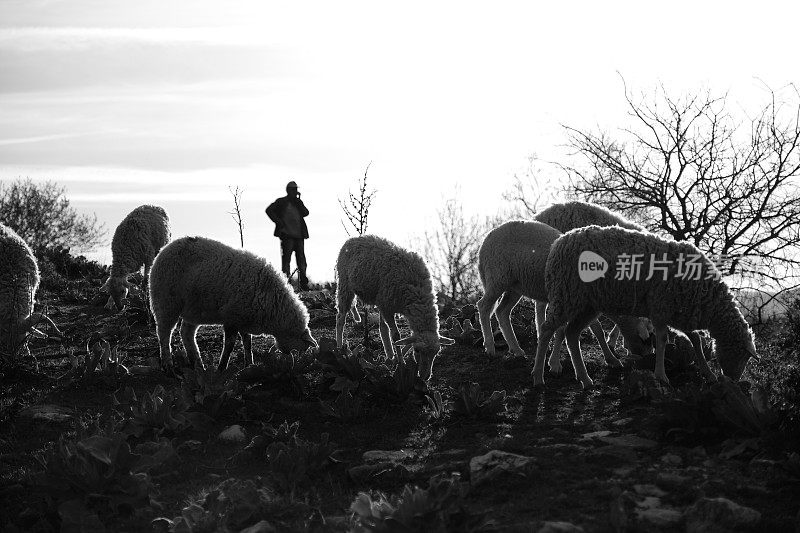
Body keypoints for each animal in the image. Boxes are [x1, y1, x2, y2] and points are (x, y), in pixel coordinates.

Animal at [148, 235, 318, 372]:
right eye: (302, 349)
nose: (294, 363)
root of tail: (164, 249)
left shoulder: (243, 316)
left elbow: (247, 342)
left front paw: (249, 364)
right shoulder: (232, 318)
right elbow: (229, 346)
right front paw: (222, 368)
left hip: (193, 308)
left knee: (186, 333)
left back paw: (198, 364)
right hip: (166, 302)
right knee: (164, 333)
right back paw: (168, 365)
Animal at [334, 235, 454, 380]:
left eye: (436, 352)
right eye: (417, 350)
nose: (425, 377)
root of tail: (352, 239)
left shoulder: (386, 305)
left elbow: (400, 336)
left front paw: (397, 357)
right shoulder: (388, 307)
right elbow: (396, 336)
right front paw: (401, 363)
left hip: (379, 299)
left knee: (383, 328)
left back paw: (390, 355)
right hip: (345, 285)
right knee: (340, 318)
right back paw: (340, 347)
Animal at [476, 220, 648, 370]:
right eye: (645, 336)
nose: (647, 355)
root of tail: (486, 240)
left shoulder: (583, 305)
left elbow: (597, 330)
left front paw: (611, 359)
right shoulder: (567, 301)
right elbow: (562, 331)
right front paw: (554, 364)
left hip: (515, 286)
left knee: (502, 311)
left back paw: (516, 349)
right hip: (497, 278)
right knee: (483, 306)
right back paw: (490, 347)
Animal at [532, 224, 756, 386]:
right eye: (744, 356)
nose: (734, 380)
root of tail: (560, 241)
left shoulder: (680, 312)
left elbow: (695, 340)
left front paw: (708, 373)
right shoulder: (661, 308)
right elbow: (663, 339)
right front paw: (661, 375)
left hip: (586, 304)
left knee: (571, 334)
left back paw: (585, 379)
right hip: (567, 295)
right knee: (546, 330)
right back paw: (538, 376)